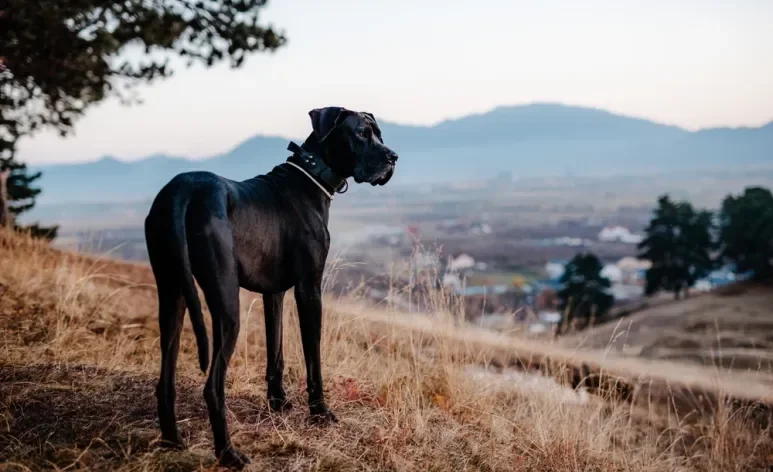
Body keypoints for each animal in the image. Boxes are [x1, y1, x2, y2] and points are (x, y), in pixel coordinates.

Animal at [144, 108, 398, 468]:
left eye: (378, 133)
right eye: (361, 133)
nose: (393, 157)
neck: (311, 174)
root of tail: (183, 192)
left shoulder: (273, 292)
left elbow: (274, 349)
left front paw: (277, 402)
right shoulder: (309, 289)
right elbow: (312, 355)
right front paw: (320, 411)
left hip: (172, 295)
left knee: (165, 378)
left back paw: (172, 440)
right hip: (226, 305)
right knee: (213, 386)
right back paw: (228, 453)